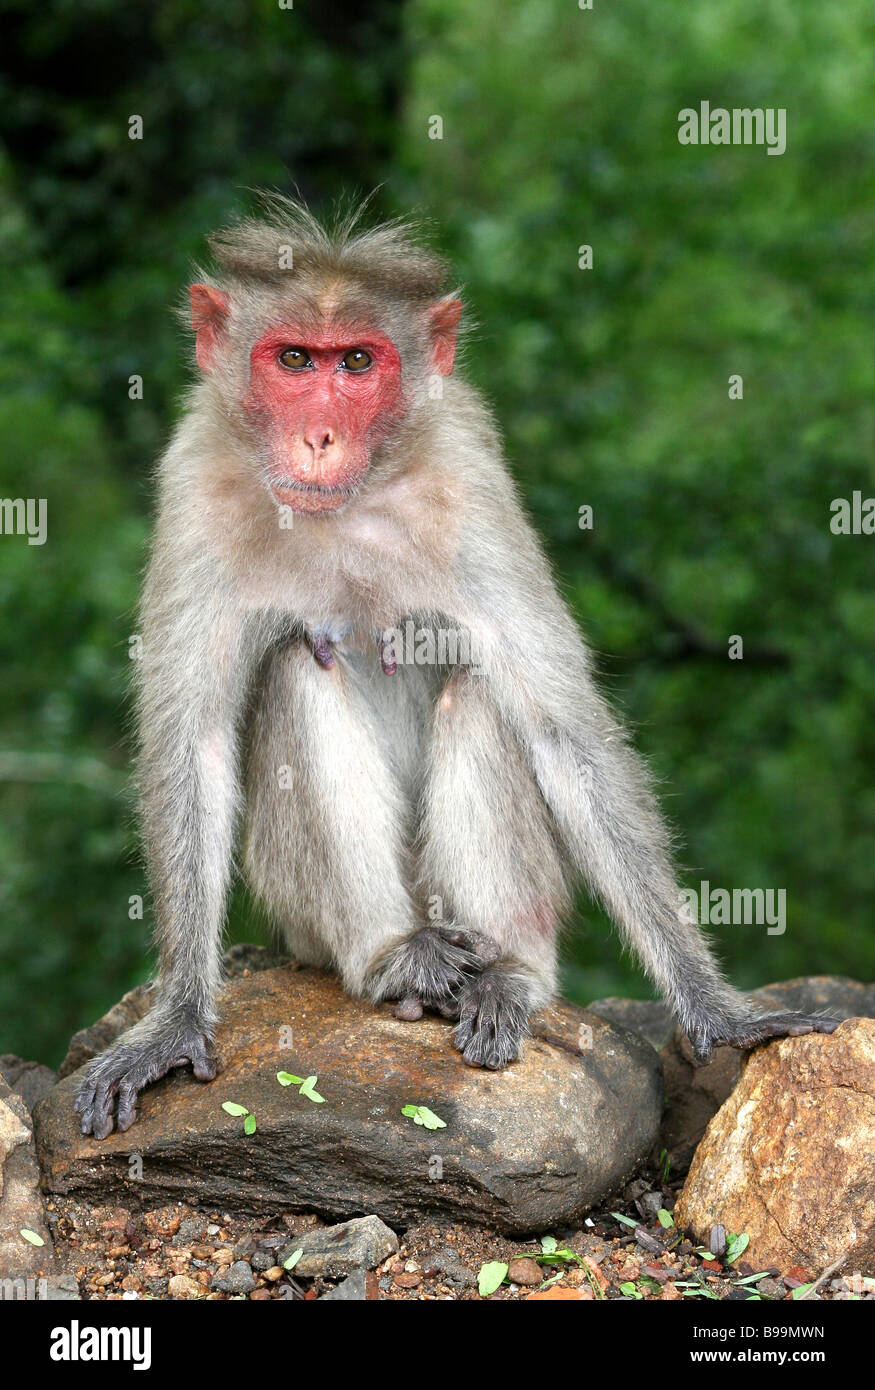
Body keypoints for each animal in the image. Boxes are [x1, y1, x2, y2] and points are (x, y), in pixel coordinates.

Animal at [76, 195, 840, 1134]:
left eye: (356, 362)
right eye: (293, 359)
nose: (320, 436)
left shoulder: (467, 476)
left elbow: (562, 734)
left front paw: (716, 1009)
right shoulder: (195, 481)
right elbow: (196, 745)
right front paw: (176, 1015)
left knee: (480, 694)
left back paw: (508, 977)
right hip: (303, 923)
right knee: (298, 668)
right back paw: (397, 960)